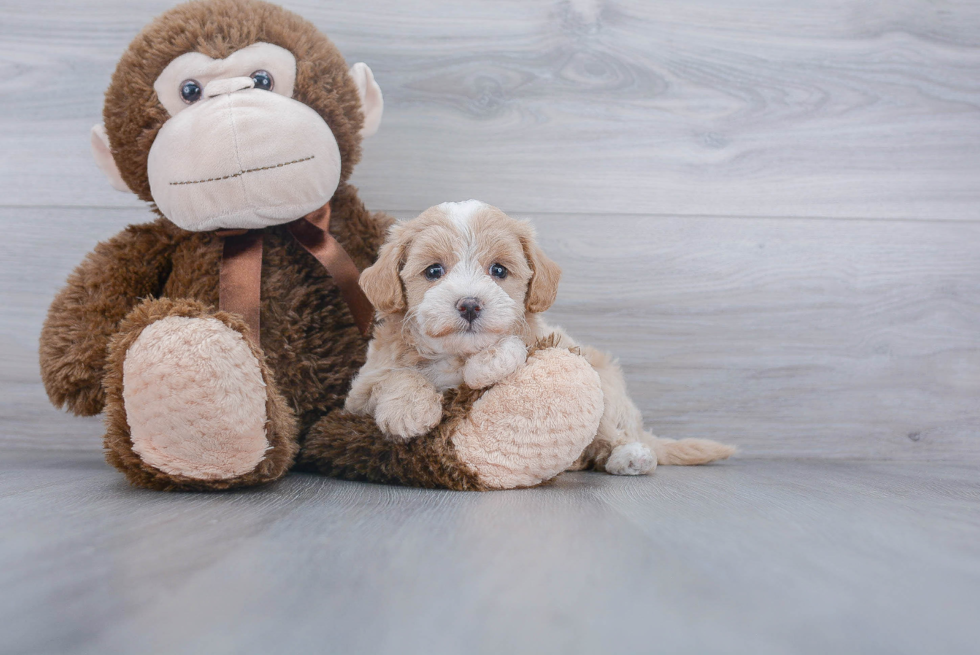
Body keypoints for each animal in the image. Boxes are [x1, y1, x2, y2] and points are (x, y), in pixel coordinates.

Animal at [344, 201, 736, 476]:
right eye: (433, 271)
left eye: (498, 270)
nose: (470, 304)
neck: (456, 354)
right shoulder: (359, 394)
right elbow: (396, 377)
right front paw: (409, 410)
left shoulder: (547, 340)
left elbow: (515, 349)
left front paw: (492, 360)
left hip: (605, 383)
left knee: (612, 433)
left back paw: (629, 456)